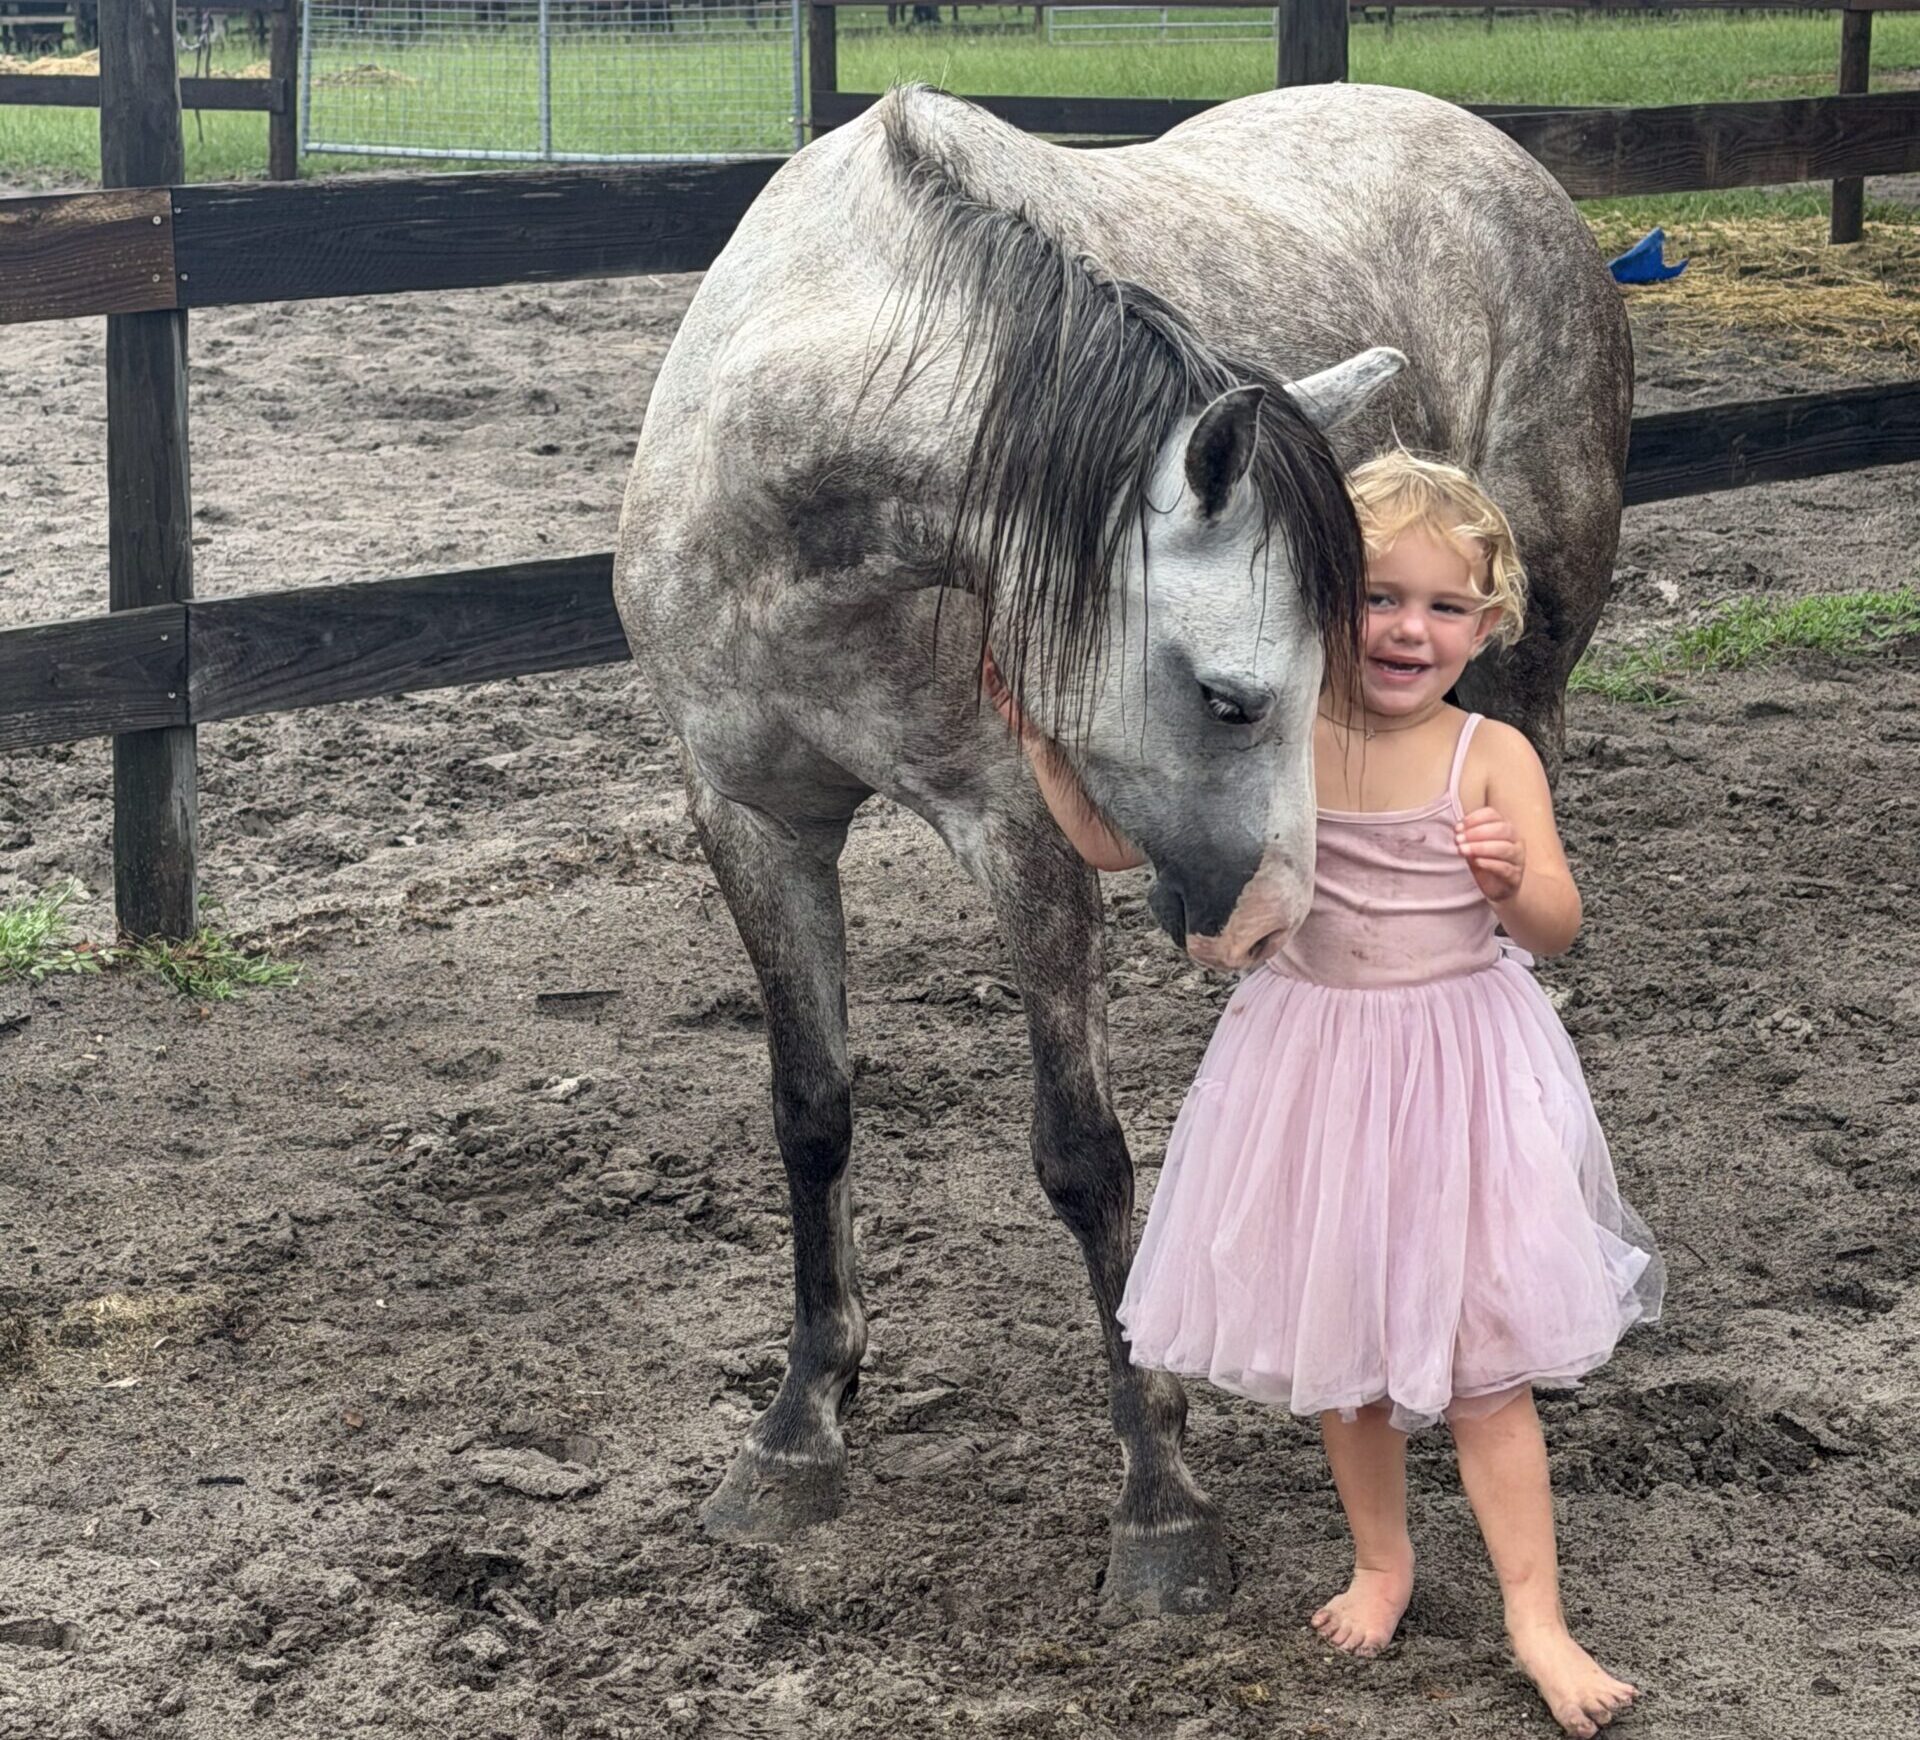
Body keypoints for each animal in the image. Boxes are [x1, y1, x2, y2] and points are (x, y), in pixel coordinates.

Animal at [612, 81, 1632, 1614]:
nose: (1269, 918)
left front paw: (1163, 1503)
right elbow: (811, 1113)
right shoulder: (751, 818)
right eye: (1228, 695)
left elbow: (1084, 1157)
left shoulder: (1021, 836)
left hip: (1527, 680)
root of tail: (1508, 159)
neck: (795, 504)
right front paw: (798, 1429)